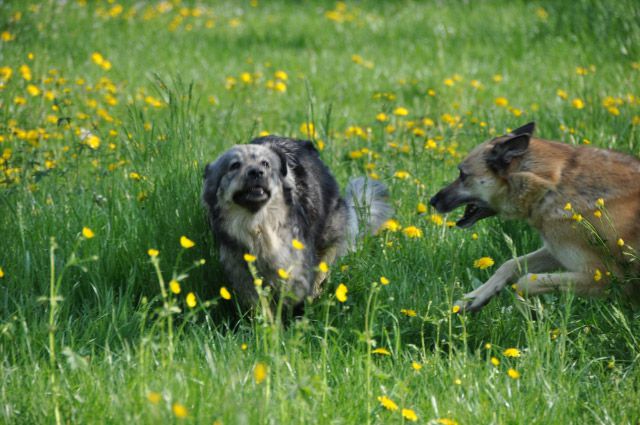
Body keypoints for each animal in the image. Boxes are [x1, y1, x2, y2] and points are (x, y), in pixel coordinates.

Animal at [430, 121, 640, 310]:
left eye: (462, 174)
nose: (432, 201)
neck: (551, 186)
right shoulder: (555, 250)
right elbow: (509, 265)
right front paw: (474, 297)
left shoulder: (604, 277)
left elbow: (525, 282)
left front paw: (528, 312)